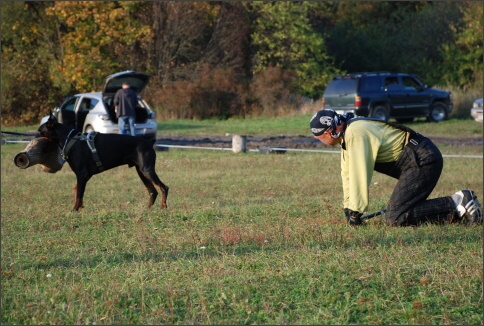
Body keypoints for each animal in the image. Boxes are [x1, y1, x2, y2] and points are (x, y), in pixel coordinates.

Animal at [36, 114, 168, 210]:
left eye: (40, 131)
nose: (34, 139)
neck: (70, 140)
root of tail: (149, 143)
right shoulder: (86, 175)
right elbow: (76, 190)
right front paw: (80, 208)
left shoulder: (82, 174)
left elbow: (79, 194)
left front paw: (74, 210)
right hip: (141, 172)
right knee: (153, 191)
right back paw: (147, 209)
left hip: (147, 170)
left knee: (163, 187)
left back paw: (163, 207)